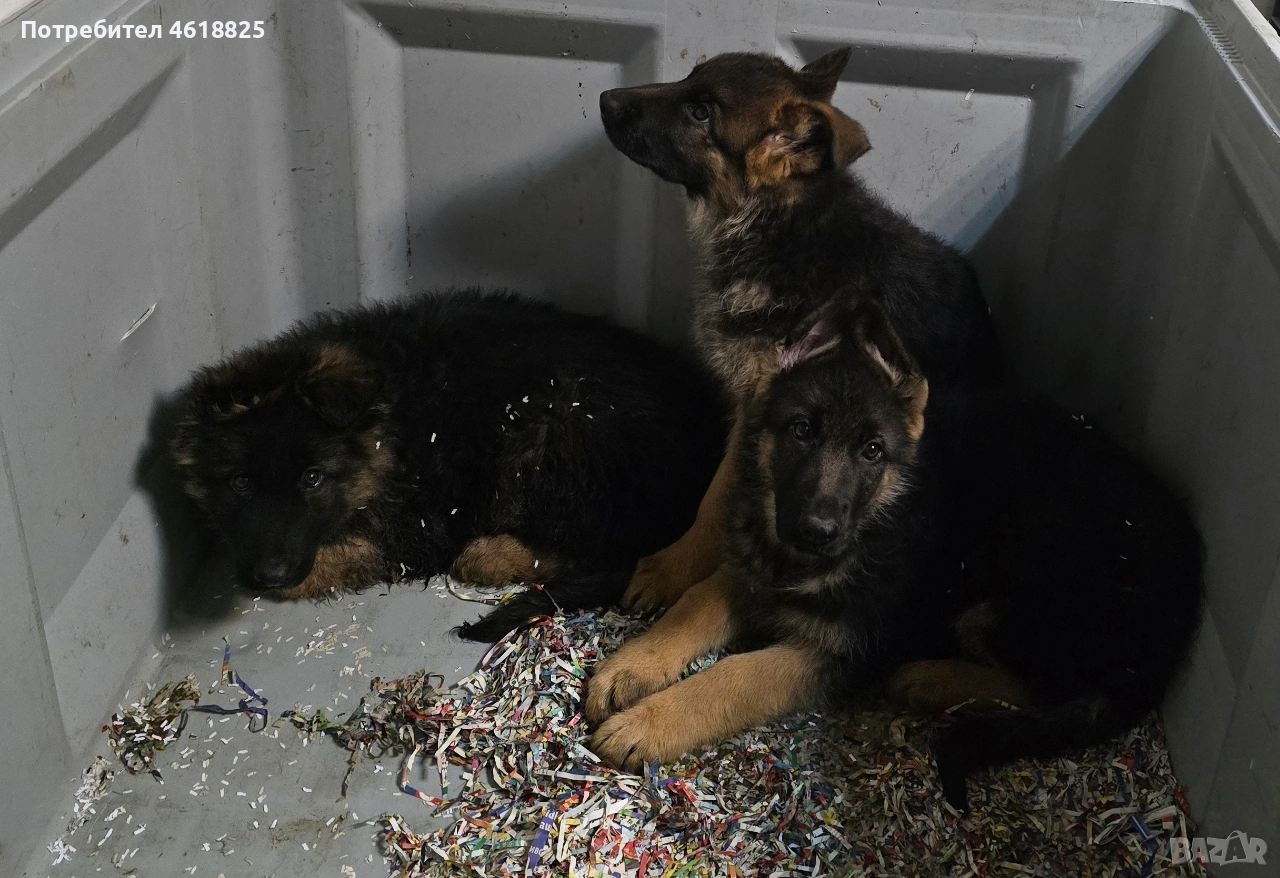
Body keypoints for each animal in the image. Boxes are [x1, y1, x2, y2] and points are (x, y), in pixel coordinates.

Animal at [170, 289, 726, 639]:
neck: (388, 423)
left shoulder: (417, 524)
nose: (269, 574)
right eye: (240, 483)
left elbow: (337, 559)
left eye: (312, 478)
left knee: (593, 553)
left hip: (550, 427)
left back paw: (491, 552)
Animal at [586, 301, 1202, 810]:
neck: (877, 517)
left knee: (1041, 690)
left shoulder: (841, 651)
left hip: (1003, 603)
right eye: (801, 430)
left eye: (872, 450)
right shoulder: (755, 573)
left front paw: (648, 723)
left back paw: (930, 679)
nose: (815, 531)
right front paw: (633, 666)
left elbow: (736, 676)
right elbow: (695, 603)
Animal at [599, 48, 1003, 614]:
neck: (779, 227)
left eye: (701, 112)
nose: (604, 98)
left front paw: (673, 568)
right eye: (689, 77)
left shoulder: (760, 407)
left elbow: (713, 499)